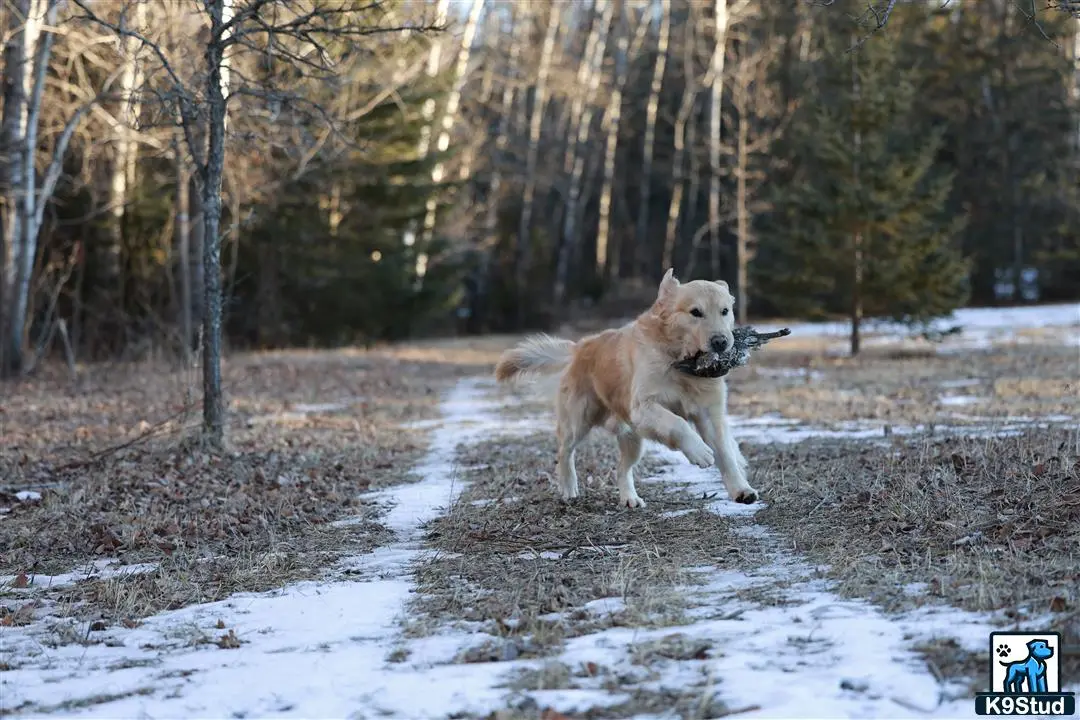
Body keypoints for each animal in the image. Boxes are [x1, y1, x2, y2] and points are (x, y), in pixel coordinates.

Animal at [494, 269, 756, 511]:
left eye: (725, 311)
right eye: (695, 312)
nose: (721, 342)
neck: (682, 363)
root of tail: (580, 346)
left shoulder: (709, 414)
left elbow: (726, 454)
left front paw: (741, 489)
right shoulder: (643, 407)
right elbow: (678, 424)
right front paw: (700, 452)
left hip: (633, 438)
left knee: (621, 469)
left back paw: (629, 498)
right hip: (578, 422)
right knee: (564, 453)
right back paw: (568, 488)